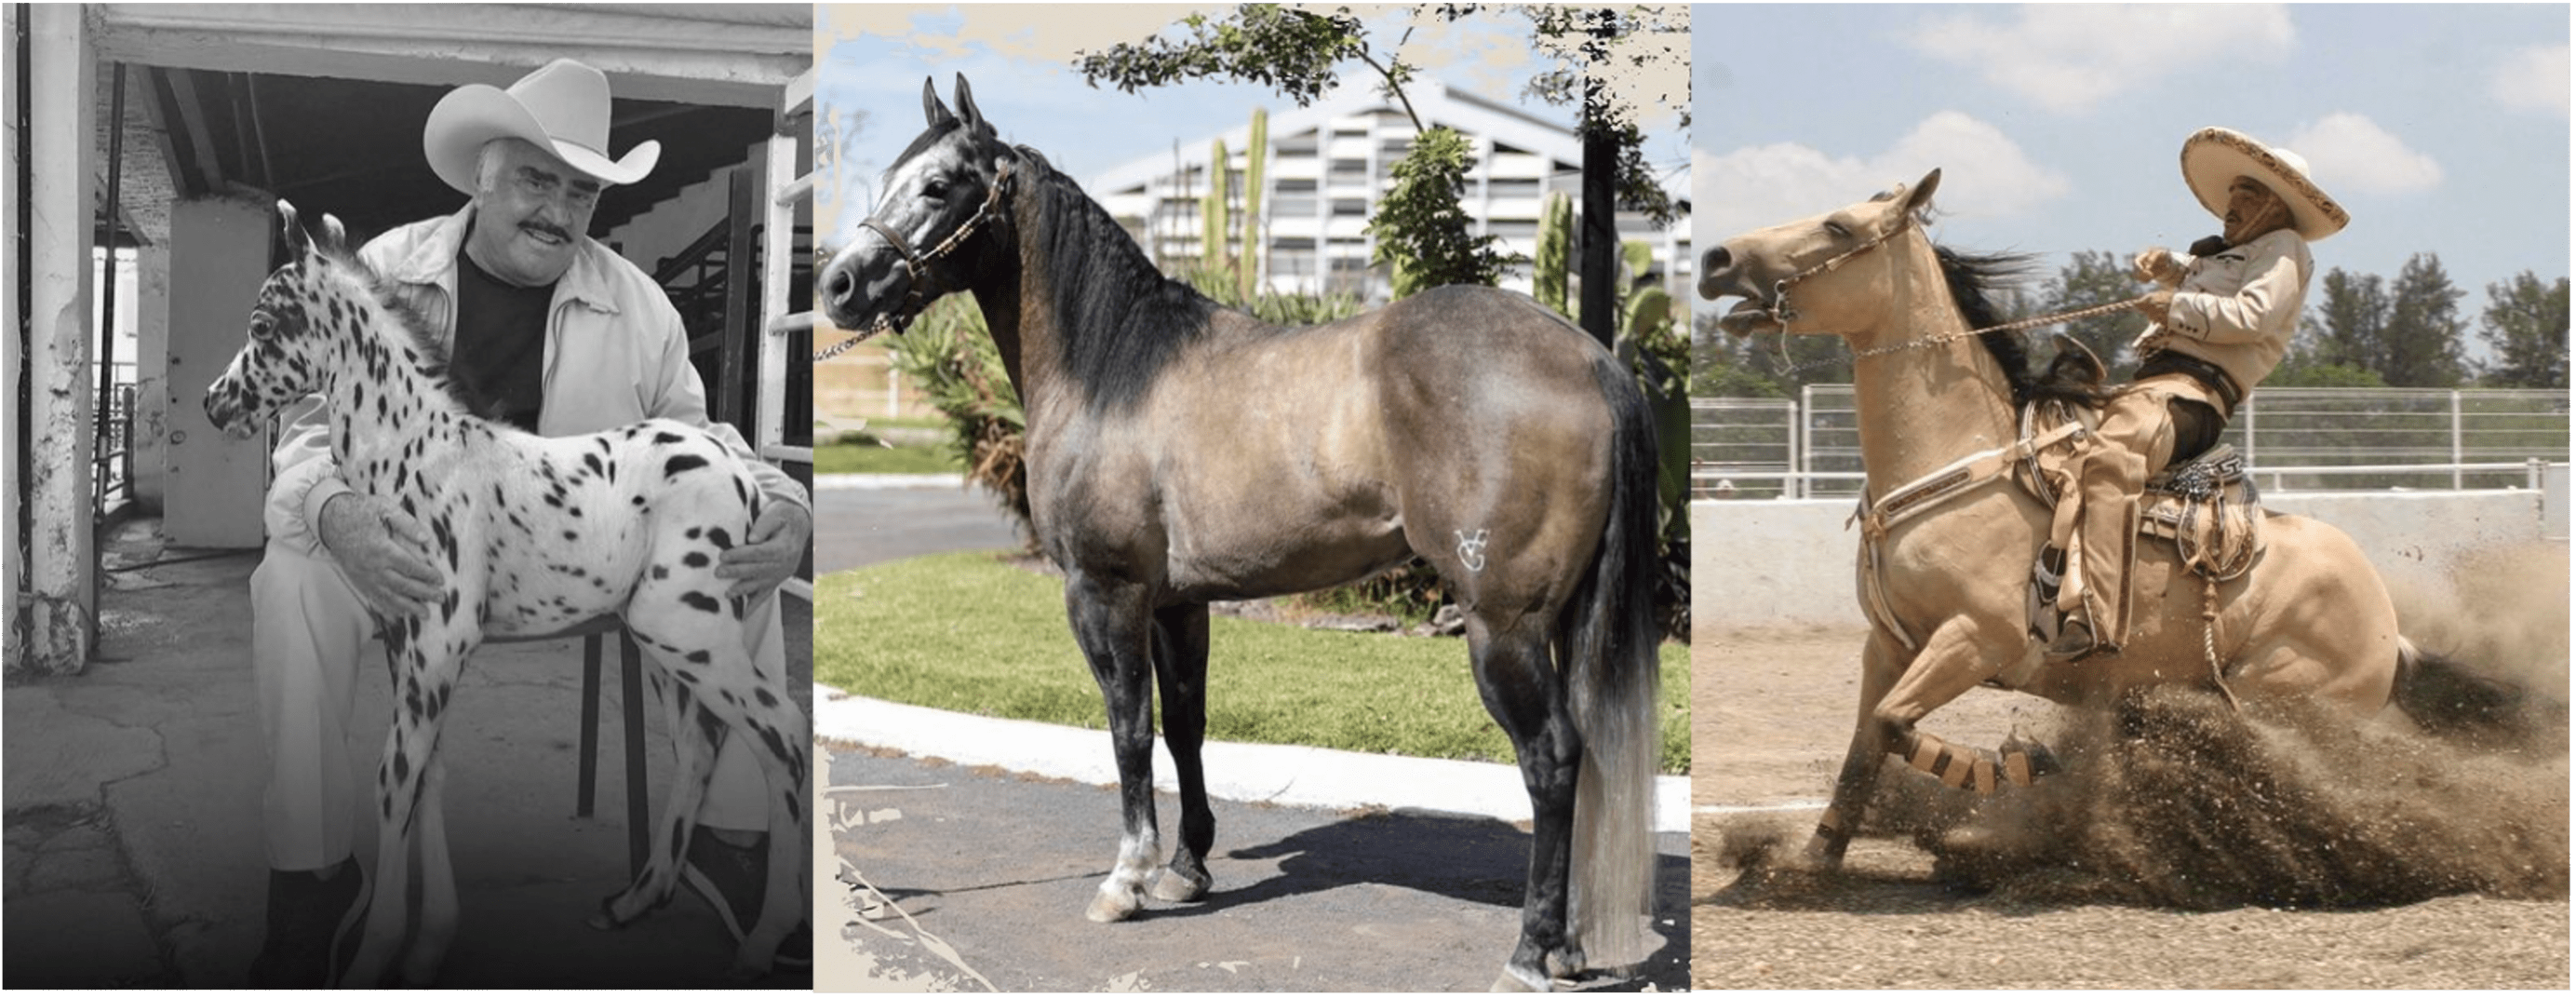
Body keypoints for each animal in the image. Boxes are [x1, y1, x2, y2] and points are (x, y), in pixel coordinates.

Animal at [824, 75, 1669, 990]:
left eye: (938, 186)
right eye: (888, 179)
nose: (838, 285)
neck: (1114, 370)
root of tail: (1593, 359)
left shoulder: (1104, 592)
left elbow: (1128, 728)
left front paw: (1126, 881)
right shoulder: (1177, 602)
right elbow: (1185, 726)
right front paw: (1186, 870)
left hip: (1502, 627)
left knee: (1552, 760)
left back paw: (1528, 952)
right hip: (1563, 620)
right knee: (1587, 758)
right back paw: (1571, 946)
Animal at [1699, 169, 2524, 866]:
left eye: (1837, 226)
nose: (1715, 256)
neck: (1959, 455)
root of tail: (2390, 629)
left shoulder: (1975, 638)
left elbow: (1895, 726)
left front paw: (2016, 769)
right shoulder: (1888, 645)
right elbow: (1863, 744)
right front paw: (1811, 862)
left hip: (2286, 706)